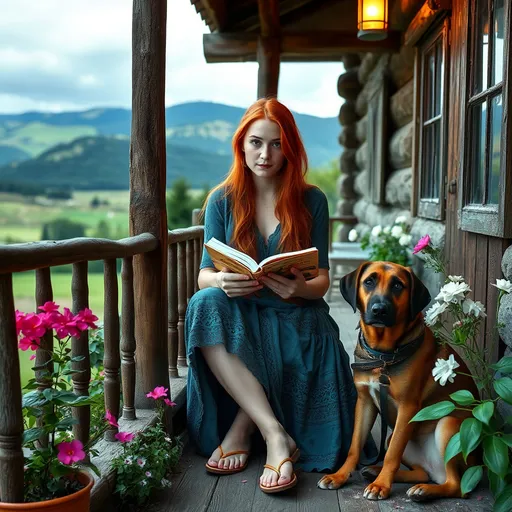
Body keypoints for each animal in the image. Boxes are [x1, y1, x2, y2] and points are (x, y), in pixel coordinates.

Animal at [318, 262, 478, 502]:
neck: (383, 354)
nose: (379, 309)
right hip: (396, 439)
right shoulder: (364, 402)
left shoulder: (407, 408)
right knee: (423, 472)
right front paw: (340, 476)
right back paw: (378, 471)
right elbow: (354, 445)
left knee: (457, 486)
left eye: (397, 285)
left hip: (448, 425)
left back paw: (423, 490)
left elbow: (392, 454)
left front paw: (381, 486)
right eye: (369, 281)